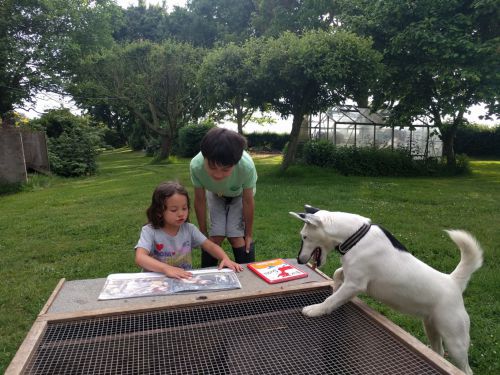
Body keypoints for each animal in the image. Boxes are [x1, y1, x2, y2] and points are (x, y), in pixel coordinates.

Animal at [292, 206, 482, 375]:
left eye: (304, 237)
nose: (299, 260)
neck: (355, 237)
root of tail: (453, 282)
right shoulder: (350, 275)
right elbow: (337, 275)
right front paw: (335, 289)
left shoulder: (355, 284)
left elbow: (331, 300)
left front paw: (316, 309)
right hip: (432, 328)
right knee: (439, 352)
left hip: (455, 340)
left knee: (466, 369)